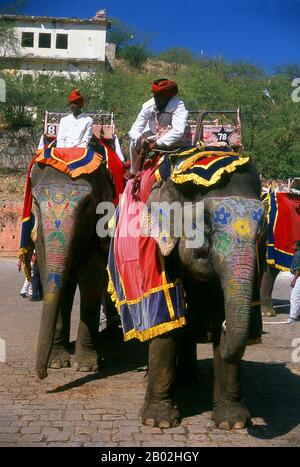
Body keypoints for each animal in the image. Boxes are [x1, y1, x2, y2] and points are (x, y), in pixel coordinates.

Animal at [30, 162, 115, 380]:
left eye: (87, 205)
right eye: (35, 203)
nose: (43, 375)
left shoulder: (97, 233)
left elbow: (92, 280)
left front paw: (86, 367)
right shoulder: (40, 238)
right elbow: (49, 275)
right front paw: (57, 364)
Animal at [138, 163, 262, 430]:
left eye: (262, 230)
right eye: (206, 225)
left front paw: (232, 424)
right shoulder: (160, 255)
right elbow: (166, 320)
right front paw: (157, 422)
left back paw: (188, 379)